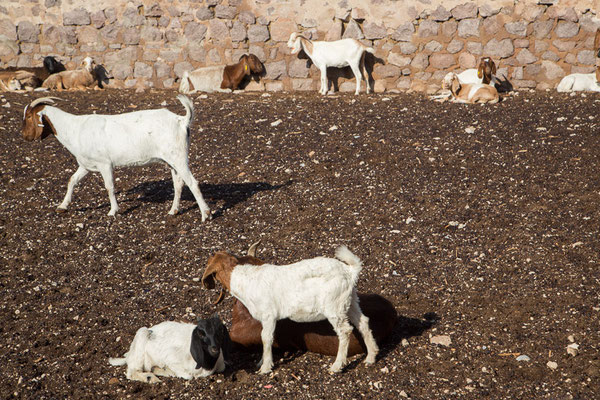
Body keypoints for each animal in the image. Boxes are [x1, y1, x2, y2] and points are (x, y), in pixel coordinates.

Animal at [20, 94, 211, 219]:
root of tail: (181, 120)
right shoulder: (86, 165)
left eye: (28, 116)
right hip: (171, 160)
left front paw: (113, 211)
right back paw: (173, 211)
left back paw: (206, 214)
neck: (75, 128)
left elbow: (109, 187)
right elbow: (72, 180)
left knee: (192, 182)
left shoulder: (105, 164)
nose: (24, 136)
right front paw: (62, 206)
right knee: (179, 184)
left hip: (178, 157)